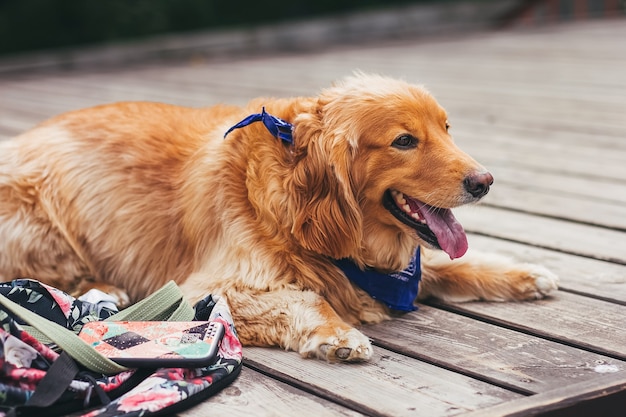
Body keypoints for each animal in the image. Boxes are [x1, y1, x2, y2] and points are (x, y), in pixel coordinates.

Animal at [0, 73, 556, 360]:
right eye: (404, 141)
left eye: (445, 129)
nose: (484, 181)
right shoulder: (209, 288)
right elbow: (306, 298)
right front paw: (336, 334)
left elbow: (462, 263)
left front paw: (524, 274)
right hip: (39, 217)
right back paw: (105, 290)